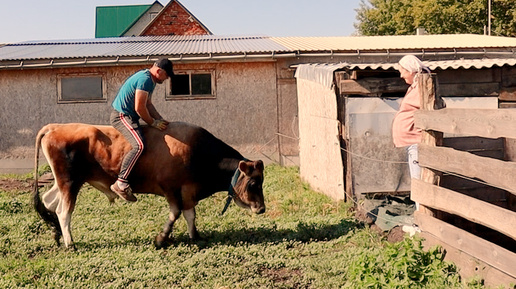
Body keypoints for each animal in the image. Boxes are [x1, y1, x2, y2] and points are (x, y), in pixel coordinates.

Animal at [33, 121, 266, 248]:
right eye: (254, 182)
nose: (261, 208)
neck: (197, 151)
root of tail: (55, 127)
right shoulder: (171, 189)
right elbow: (175, 213)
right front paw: (161, 238)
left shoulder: (188, 191)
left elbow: (190, 214)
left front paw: (195, 236)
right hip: (70, 182)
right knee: (64, 211)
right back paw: (70, 243)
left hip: (63, 182)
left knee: (49, 201)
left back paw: (56, 234)